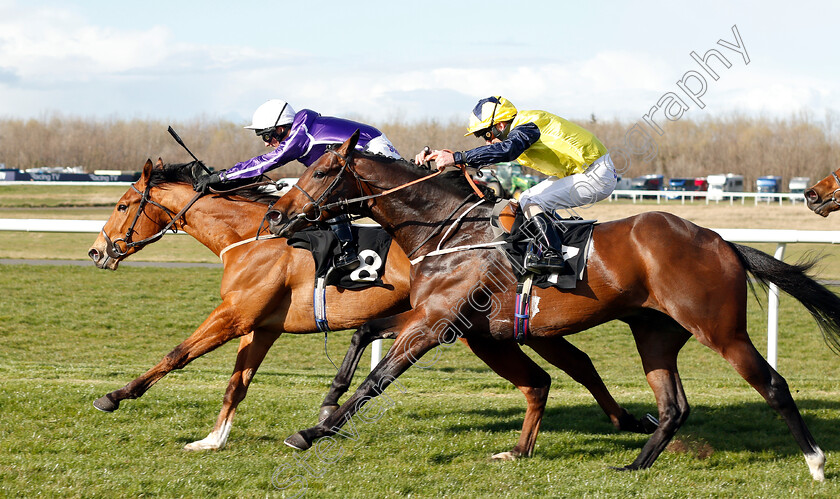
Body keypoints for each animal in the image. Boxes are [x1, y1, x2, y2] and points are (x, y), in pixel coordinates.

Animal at [88, 160, 656, 454]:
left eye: (122, 204)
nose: (97, 251)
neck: (252, 236)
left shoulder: (236, 315)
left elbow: (178, 354)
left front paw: (115, 395)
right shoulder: (260, 325)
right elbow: (237, 383)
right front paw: (213, 439)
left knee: (574, 363)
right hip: (511, 324)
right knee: (578, 362)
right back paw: (627, 421)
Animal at [270, 132, 840, 480]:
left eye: (321, 172)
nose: (276, 215)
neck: (452, 230)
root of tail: (722, 242)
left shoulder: (434, 325)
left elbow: (377, 380)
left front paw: (312, 432)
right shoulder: (435, 317)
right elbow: (363, 333)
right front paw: (327, 402)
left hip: (719, 329)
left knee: (772, 385)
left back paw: (814, 462)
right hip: (654, 333)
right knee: (673, 406)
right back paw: (634, 466)